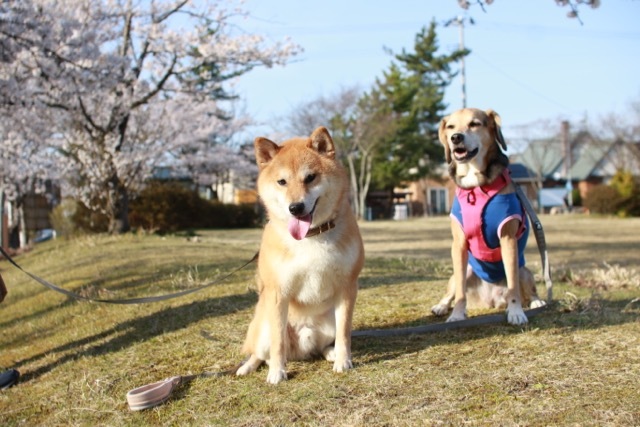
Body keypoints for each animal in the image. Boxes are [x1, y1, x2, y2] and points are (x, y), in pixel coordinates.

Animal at [235, 126, 364, 384]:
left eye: (310, 177)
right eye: (282, 182)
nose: (295, 208)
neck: (311, 236)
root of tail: (300, 348)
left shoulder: (347, 287)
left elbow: (345, 334)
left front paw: (344, 361)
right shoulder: (277, 293)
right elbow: (277, 344)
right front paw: (277, 372)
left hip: (329, 321)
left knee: (323, 346)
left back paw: (331, 354)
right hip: (263, 327)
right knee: (260, 354)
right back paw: (248, 366)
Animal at [430, 108, 544, 326]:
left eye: (474, 124)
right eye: (451, 127)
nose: (456, 138)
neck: (476, 185)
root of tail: (489, 299)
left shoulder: (508, 239)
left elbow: (513, 287)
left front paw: (516, 312)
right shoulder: (458, 244)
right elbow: (460, 294)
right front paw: (457, 314)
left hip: (524, 270)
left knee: (527, 291)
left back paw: (536, 302)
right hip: (463, 272)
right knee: (452, 291)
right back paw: (441, 306)